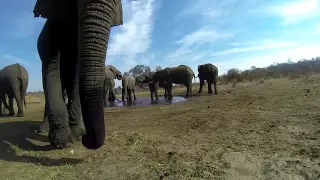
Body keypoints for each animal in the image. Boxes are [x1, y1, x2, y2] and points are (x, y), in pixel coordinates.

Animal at [33, 0, 124, 149]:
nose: (86, 137)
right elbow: (52, 69)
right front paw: (63, 142)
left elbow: (75, 75)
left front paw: (78, 135)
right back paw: (42, 130)